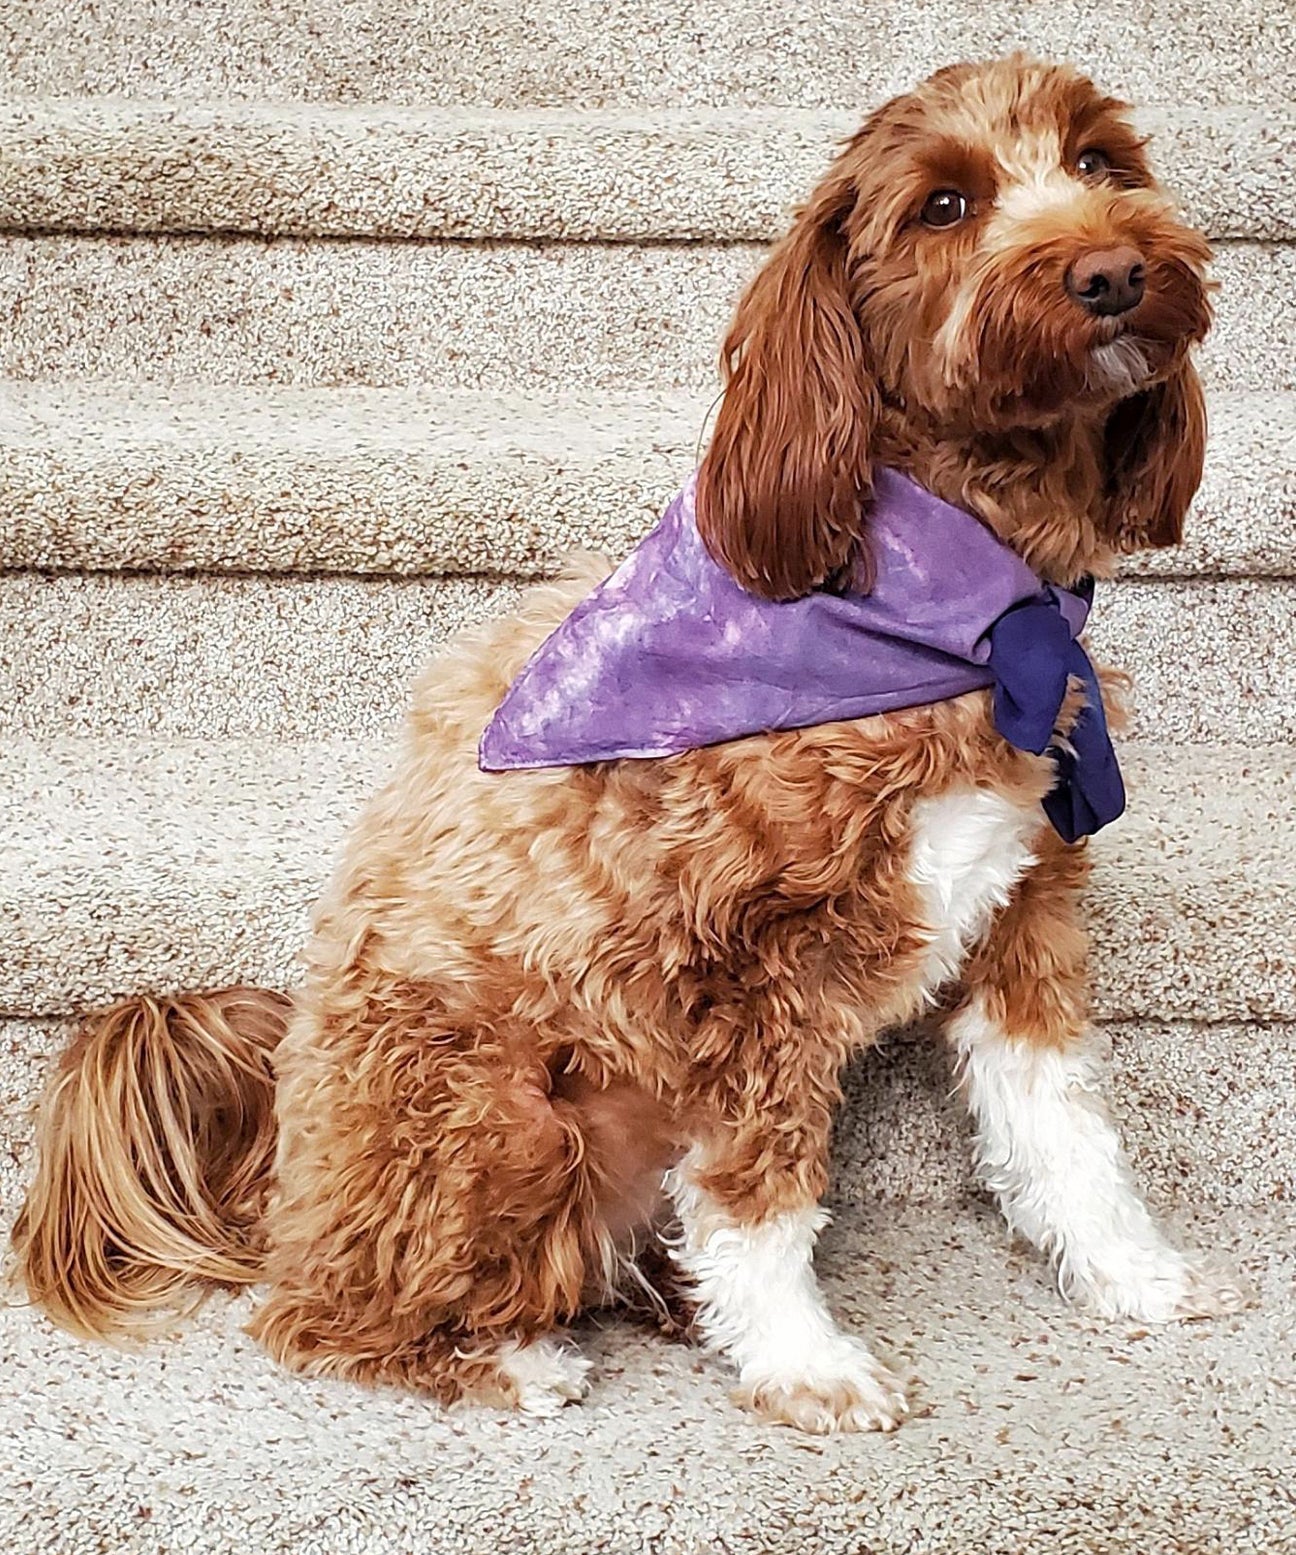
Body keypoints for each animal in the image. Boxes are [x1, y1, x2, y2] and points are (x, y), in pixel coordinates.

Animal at [10, 54, 1244, 1436]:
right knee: (322, 1314)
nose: (1114, 271)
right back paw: (510, 1357)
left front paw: (1135, 1276)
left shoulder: (1021, 916)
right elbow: (760, 1198)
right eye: (944, 205)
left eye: (1099, 163)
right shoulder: (748, 975)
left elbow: (1064, 1130)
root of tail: (276, 1160)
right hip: (504, 1111)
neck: (965, 599)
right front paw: (806, 1363)